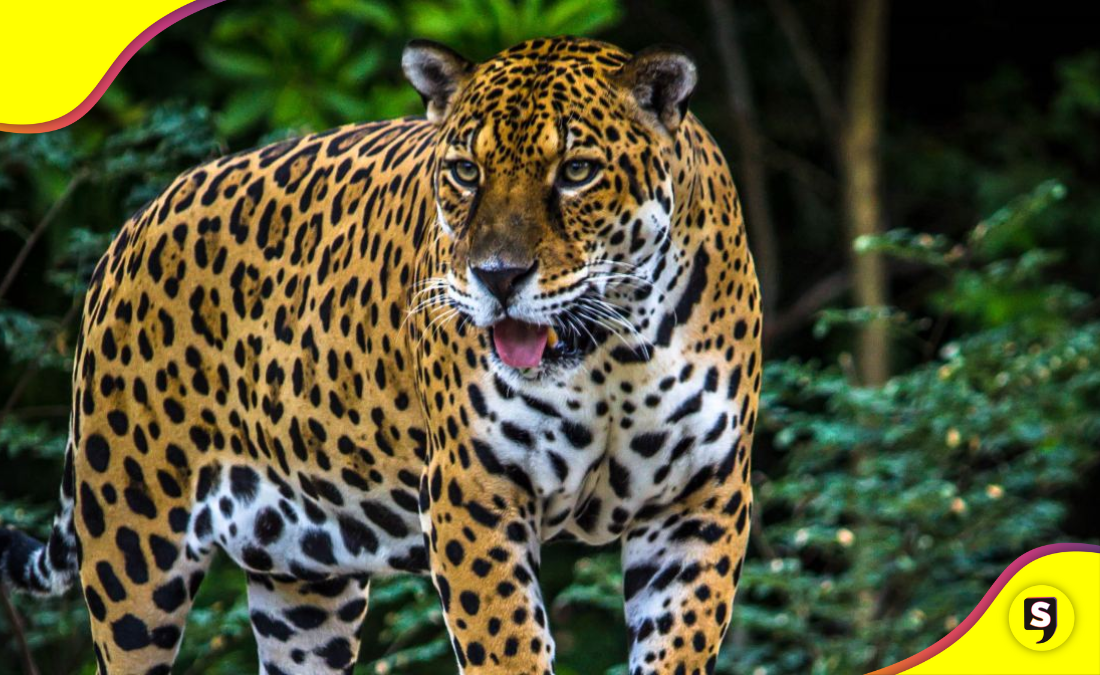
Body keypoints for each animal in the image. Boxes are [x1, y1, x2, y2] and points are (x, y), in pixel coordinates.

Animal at [0, 35, 761, 675]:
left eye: (576, 171)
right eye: (465, 171)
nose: (498, 277)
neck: (613, 353)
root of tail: (135, 223)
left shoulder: (702, 497)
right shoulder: (473, 490)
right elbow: (507, 645)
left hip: (303, 588)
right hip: (133, 542)